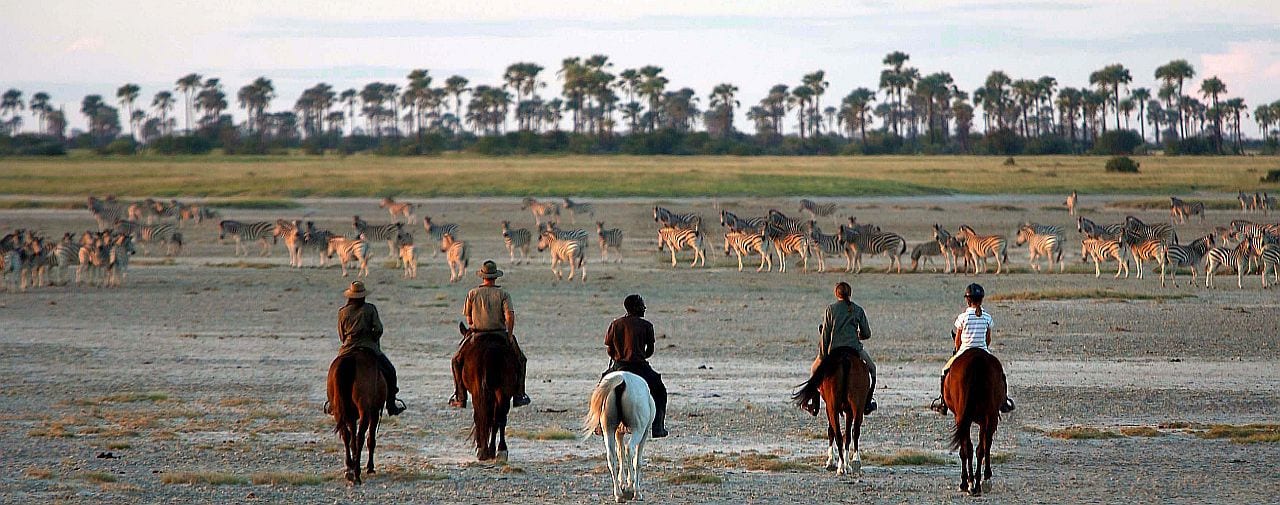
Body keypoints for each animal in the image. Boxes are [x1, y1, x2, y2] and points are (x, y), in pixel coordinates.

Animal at [326, 349, 387, 485]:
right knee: (360, 437)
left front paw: (352, 465)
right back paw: (357, 474)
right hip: (365, 411)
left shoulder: (351, 417)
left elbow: (351, 438)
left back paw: (349, 469)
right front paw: (370, 467)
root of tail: (351, 359)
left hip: (339, 411)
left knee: (346, 435)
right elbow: (370, 439)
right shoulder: (374, 412)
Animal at [457, 322, 519, 461]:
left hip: (480, 391)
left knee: (482, 415)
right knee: (499, 417)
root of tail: (491, 350)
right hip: (503, 391)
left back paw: (485, 450)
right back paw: (499, 450)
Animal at [582, 371, 655, 503]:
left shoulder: (618, 433)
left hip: (609, 430)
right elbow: (637, 461)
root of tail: (622, 380)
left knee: (611, 457)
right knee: (629, 449)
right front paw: (632, 487)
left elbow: (620, 454)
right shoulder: (645, 433)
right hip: (638, 430)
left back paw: (618, 494)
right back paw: (633, 489)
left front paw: (622, 483)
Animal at [792, 347, 870, 475]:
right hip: (857, 405)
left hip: (832, 407)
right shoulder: (848, 411)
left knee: (838, 435)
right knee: (855, 432)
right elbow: (847, 435)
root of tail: (845, 359)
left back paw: (841, 468)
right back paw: (854, 462)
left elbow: (831, 431)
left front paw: (831, 461)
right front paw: (846, 464)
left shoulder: (829, 409)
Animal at [943, 348, 1007, 496]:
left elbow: (965, 450)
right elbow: (982, 447)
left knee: (970, 448)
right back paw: (979, 483)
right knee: (981, 448)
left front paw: (964, 483)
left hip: (968, 418)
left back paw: (971, 483)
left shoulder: (960, 418)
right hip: (989, 417)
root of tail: (976, 359)